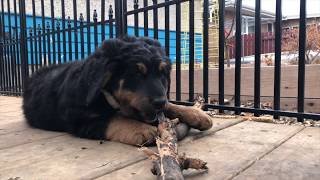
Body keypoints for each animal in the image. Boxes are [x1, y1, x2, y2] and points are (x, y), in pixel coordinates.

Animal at [22, 36, 212, 146]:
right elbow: (113, 118)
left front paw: (197, 114)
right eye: (136, 74)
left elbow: (171, 104)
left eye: (163, 73)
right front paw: (141, 129)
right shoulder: (79, 119)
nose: (158, 102)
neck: (104, 94)